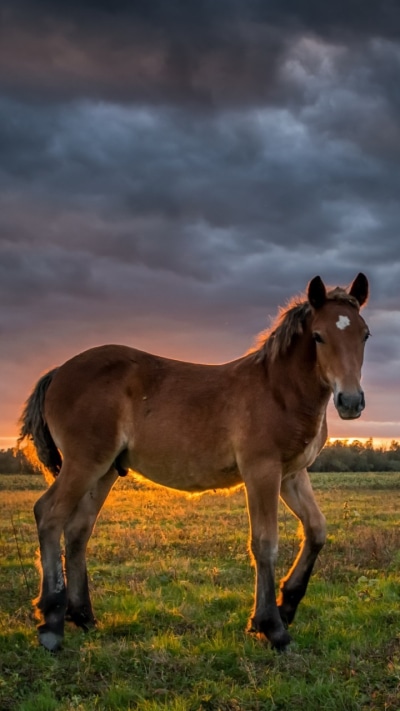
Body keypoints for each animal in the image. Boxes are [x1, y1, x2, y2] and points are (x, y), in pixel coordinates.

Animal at [19, 273, 369, 652]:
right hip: (85, 463)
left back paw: (83, 616)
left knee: (78, 529)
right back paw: (52, 623)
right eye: (318, 336)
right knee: (49, 515)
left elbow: (316, 530)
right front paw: (272, 627)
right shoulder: (261, 470)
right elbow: (264, 543)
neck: (279, 390)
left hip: (105, 471)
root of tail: (58, 371)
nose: (351, 401)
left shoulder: (292, 474)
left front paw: (286, 605)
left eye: (364, 334)